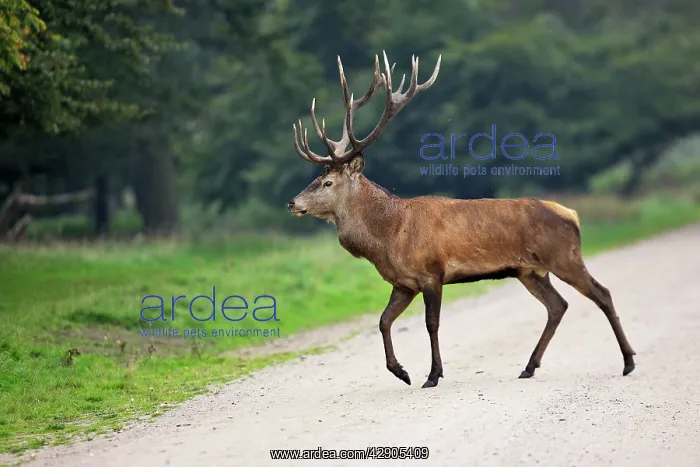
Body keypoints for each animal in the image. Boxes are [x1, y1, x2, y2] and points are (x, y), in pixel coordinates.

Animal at [287, 51, 637, 389]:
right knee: (558, 306)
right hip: (530, 270)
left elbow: (431, 324)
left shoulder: (431, 273)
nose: (292, 202)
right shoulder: (403, 283)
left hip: (564, 256)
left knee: (602, 293)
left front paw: (432, 375)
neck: (389, 235)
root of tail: (571, 214)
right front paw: (401, 372)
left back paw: (628, 361)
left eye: (327, 183)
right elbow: (384, 321)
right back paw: (529, 366)